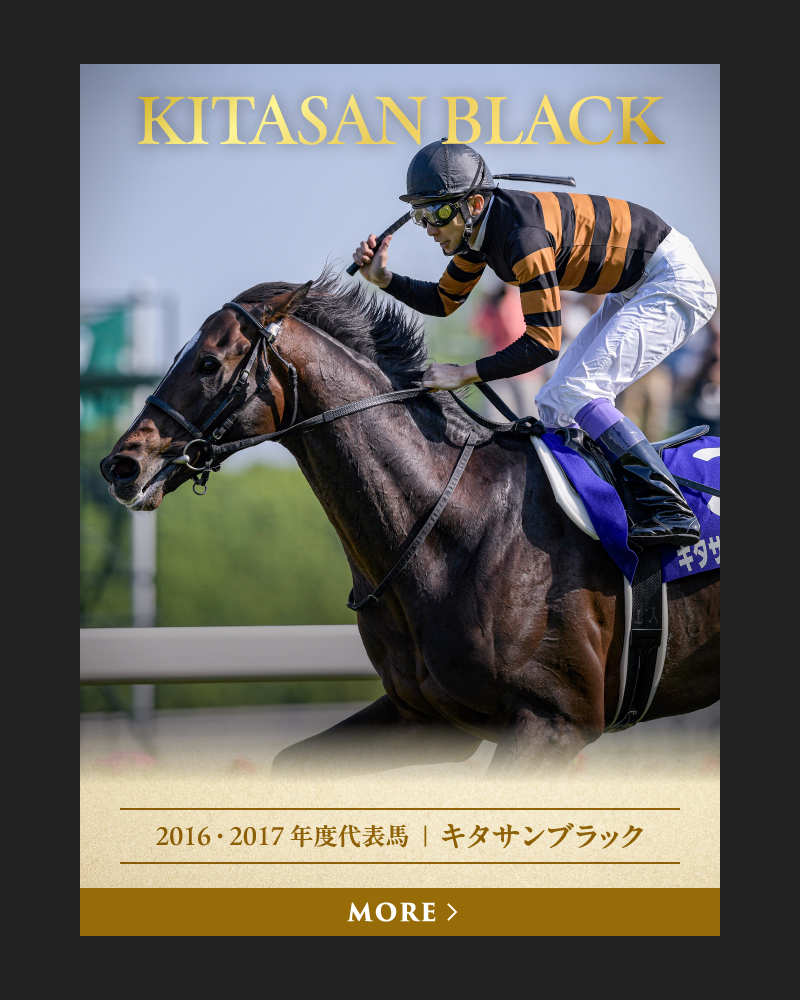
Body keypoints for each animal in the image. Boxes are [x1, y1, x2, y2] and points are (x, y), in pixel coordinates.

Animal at [100, 269, 720, 778]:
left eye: (209, 362)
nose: (121, 464)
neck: (460, 525)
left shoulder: (554, 722)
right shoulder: (425, 712)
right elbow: (288, 764)